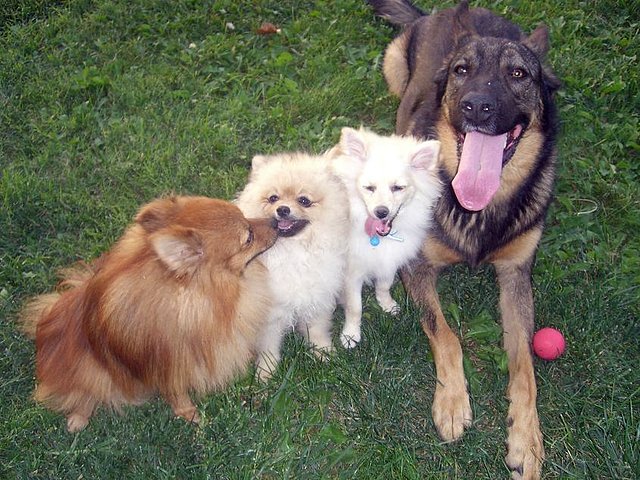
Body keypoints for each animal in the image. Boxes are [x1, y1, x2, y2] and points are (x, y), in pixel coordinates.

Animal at [364, 0, 560, 480]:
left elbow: (524, 362)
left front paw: (527, 438)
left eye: (518, 74)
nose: (477, 107)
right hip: (392, 67)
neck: (478, 210)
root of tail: (441, 11)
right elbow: (444, 330)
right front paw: (452, 402)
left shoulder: (515, 275)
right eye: (462, 70)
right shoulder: (416, 265)